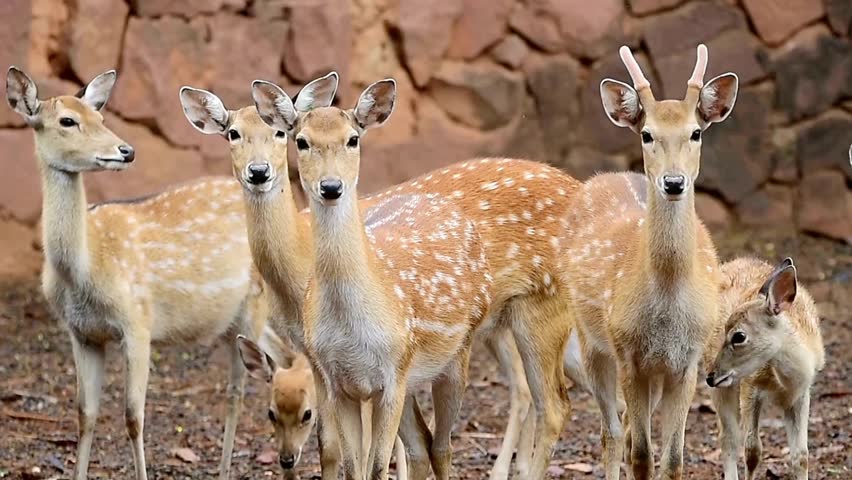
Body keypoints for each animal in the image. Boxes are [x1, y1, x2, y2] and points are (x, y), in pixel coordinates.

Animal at [4, 67, 271, 480]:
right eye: (67, 121)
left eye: (100, 118)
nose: (125, 151)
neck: (84, 271)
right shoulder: (81, 333)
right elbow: (85, 414)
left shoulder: (138, 322)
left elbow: (133, 417)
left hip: (255, 305)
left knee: (240, 391)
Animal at [249, 76, 581, 479]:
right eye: (301, 140)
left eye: (353, 139)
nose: (330, 187)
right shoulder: (336, 378)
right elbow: (351, 463)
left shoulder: (393, 376)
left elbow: (377, 465)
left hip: (535, 314)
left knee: (549, 406)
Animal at [559, 44, 739, 480]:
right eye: (646, 134)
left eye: (696, 132)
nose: (673, 182)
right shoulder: (627, 353)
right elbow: (642, 455)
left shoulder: (688, 361)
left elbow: (672, 459)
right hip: (591, 341)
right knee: (611, 432)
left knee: (622, 428)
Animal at [706, 257, 824, 480]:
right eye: (725, 330)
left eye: (739, 336)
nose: (711, 376)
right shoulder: (750, 387)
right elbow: (752, 450)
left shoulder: (801, 395)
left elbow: (801, 455)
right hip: (723, 388)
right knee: (728, 439)